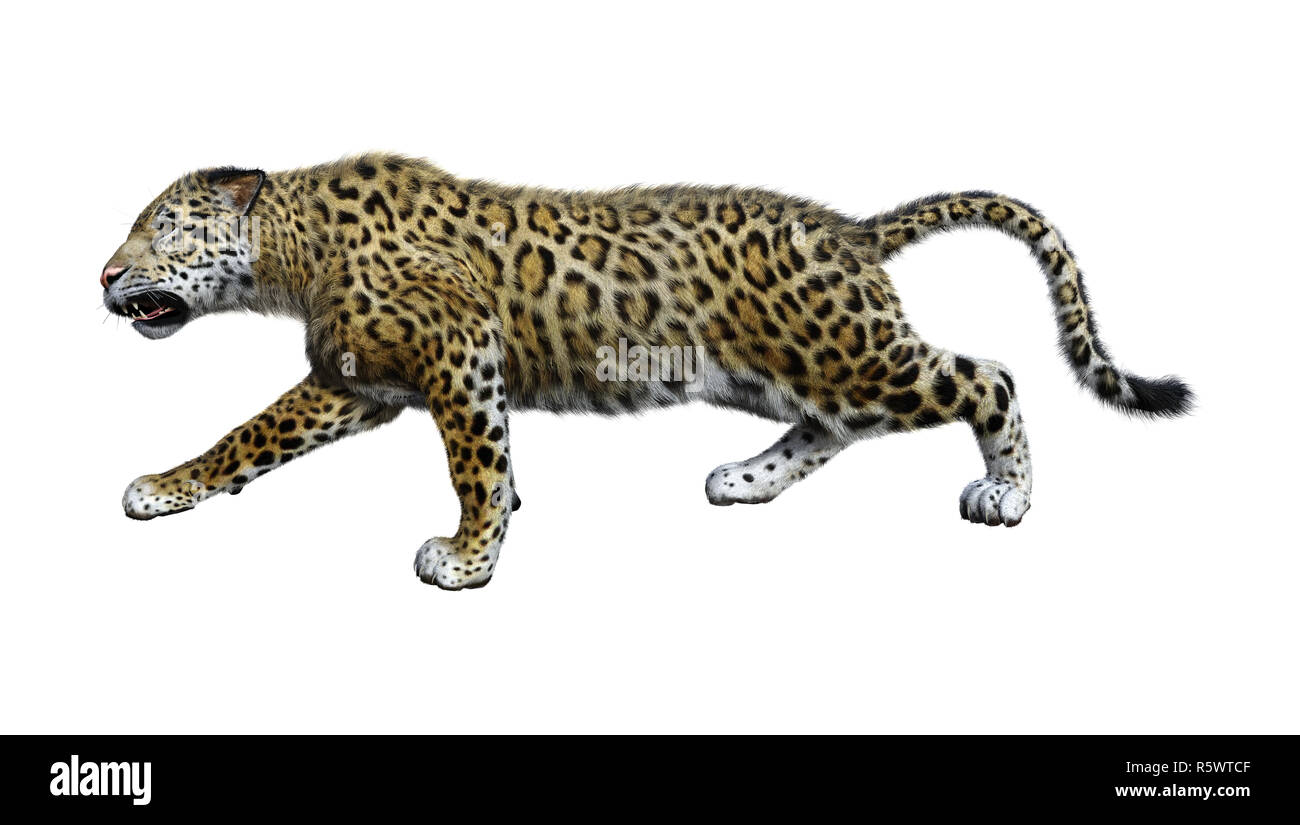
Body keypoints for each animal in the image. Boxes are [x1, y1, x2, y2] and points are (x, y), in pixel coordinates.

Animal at [101, 155, 1191, 590]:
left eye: (157, 228)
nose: (104, 275)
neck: (291, 251)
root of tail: (847, 228)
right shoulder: (357, 384)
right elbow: (248, 437)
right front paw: (166, 486)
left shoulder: (458, 356)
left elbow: (470, 462)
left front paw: (469, 556)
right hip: (777, 367)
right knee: (838, 424)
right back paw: (745, 478)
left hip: (840, 351)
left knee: (986, 375)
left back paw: (1006, 493)